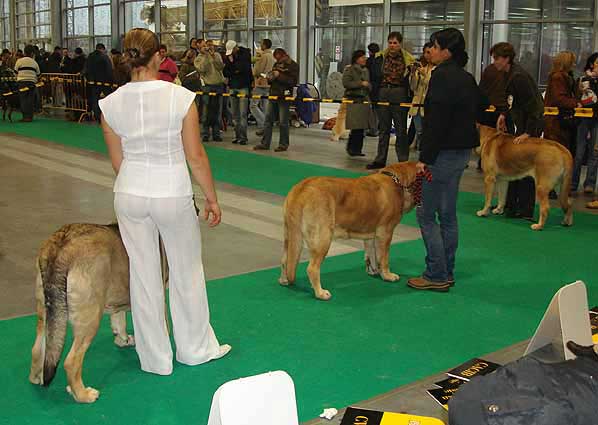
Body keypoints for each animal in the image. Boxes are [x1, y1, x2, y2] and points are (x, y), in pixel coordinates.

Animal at [28, 224, 166, 402]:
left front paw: (123, 340)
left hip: (45, 312)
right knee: (71, 362)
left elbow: (119, 321)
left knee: (37, 349)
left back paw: (37, 377)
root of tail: (61, 247)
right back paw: (82, 394)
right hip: (90, 318)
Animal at [280, 161, 418, 300]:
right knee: (312, 268)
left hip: (289, 236)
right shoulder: (385, 233)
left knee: (285, 260)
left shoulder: (370, 235)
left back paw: (284, 280)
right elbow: (383, 259)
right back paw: (320, 293)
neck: (397, 181)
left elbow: (371, 255)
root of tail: (301, 189)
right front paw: (387, 275)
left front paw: (373, 271)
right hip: (323, 239)